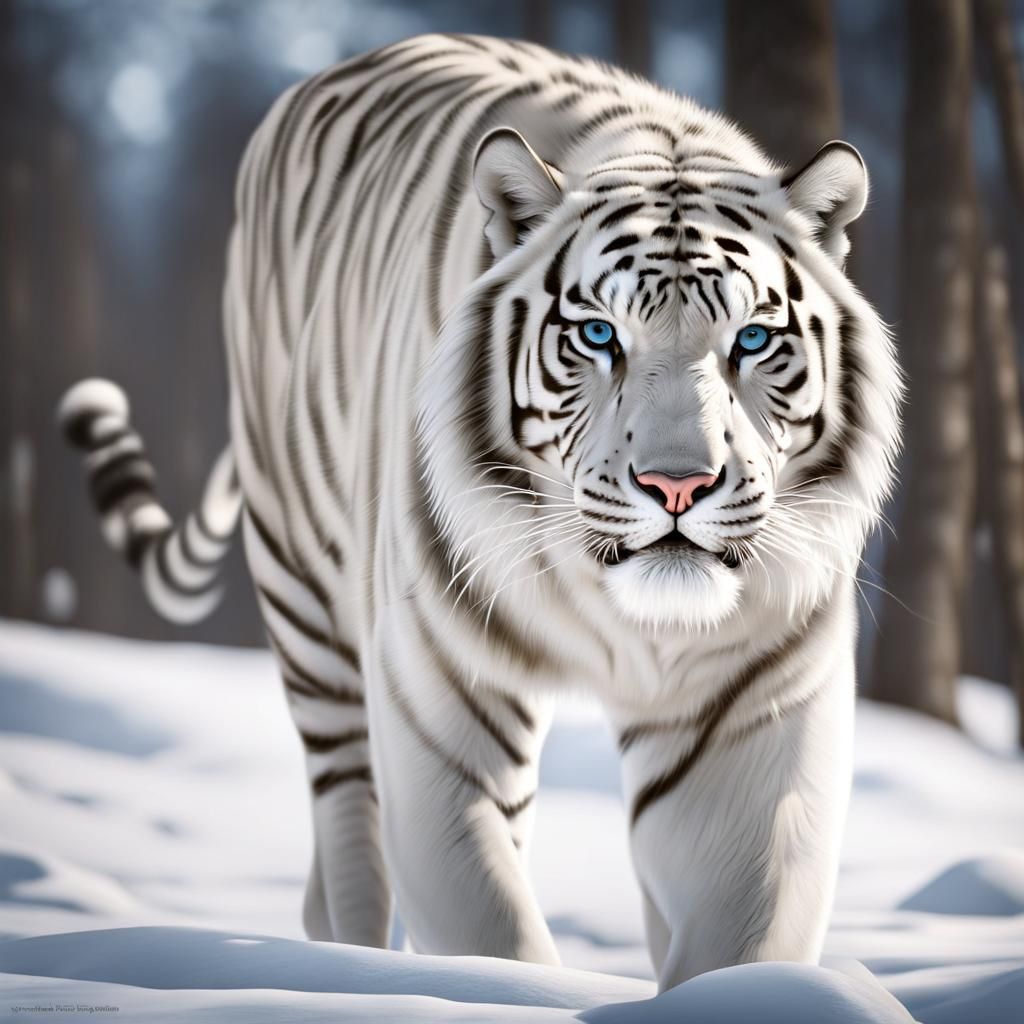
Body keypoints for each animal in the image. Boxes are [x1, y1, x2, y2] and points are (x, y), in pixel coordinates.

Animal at [58, 33, 902, 991]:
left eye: (753, 340)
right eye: (599, 335)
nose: (677, 485)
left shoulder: (756, 721)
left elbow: (742, 930)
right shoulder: (438, 705)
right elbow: (487, 924)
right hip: (310, 617)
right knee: (348, 842)